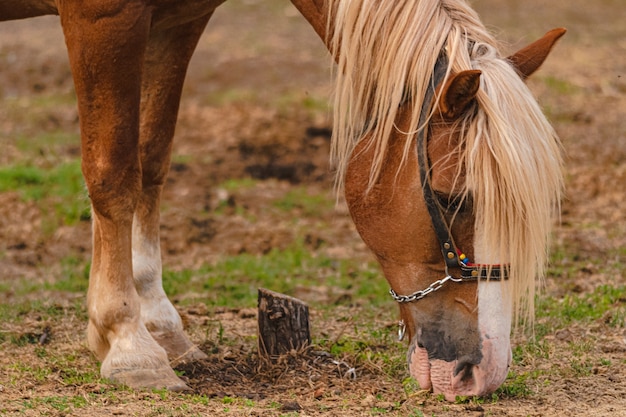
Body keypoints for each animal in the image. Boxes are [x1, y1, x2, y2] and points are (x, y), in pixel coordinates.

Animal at [0, 0, 564, 400]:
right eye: (452, 200)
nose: (482, 373)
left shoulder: (177, 21)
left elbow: (150, 161)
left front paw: (159, 324)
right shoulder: (102, 16)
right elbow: (114, 173)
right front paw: (127, 342)